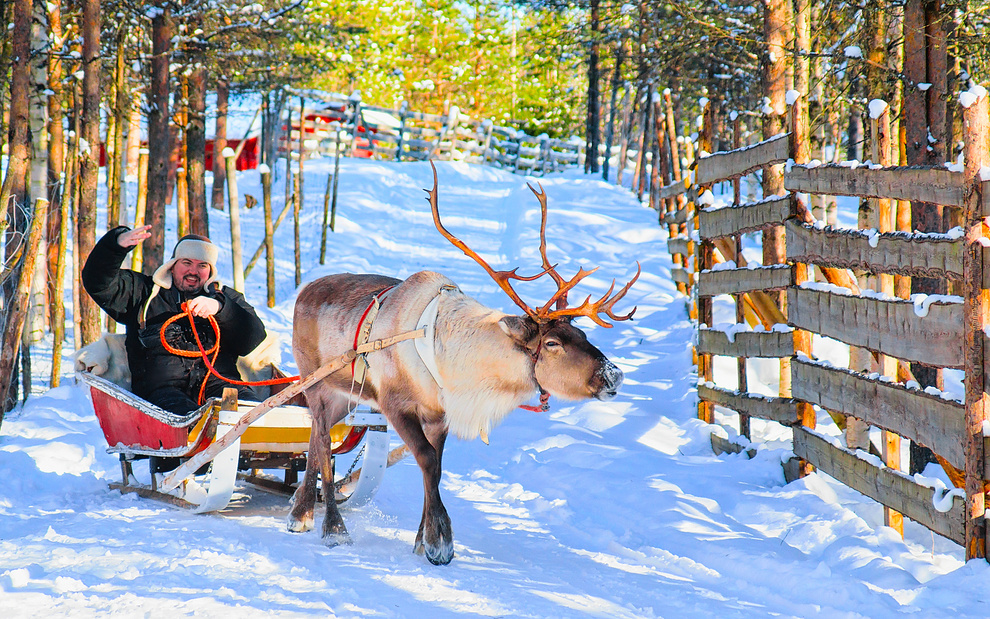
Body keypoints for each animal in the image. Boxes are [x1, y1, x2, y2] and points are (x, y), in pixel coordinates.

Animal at [287, 163, 639, 565]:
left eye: (581, 334)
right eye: (552, 343)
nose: (614, 374)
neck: (466, 369)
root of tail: (304, 290)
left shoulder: (439, 414)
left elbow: (436, 467)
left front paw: (422, 539)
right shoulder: (396, 404)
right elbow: (425, 458)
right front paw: (440, 540)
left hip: (342, 395)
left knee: (315, 436)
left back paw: (302, 511)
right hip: (315, 382)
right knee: (321, 440)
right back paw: (331, 526)